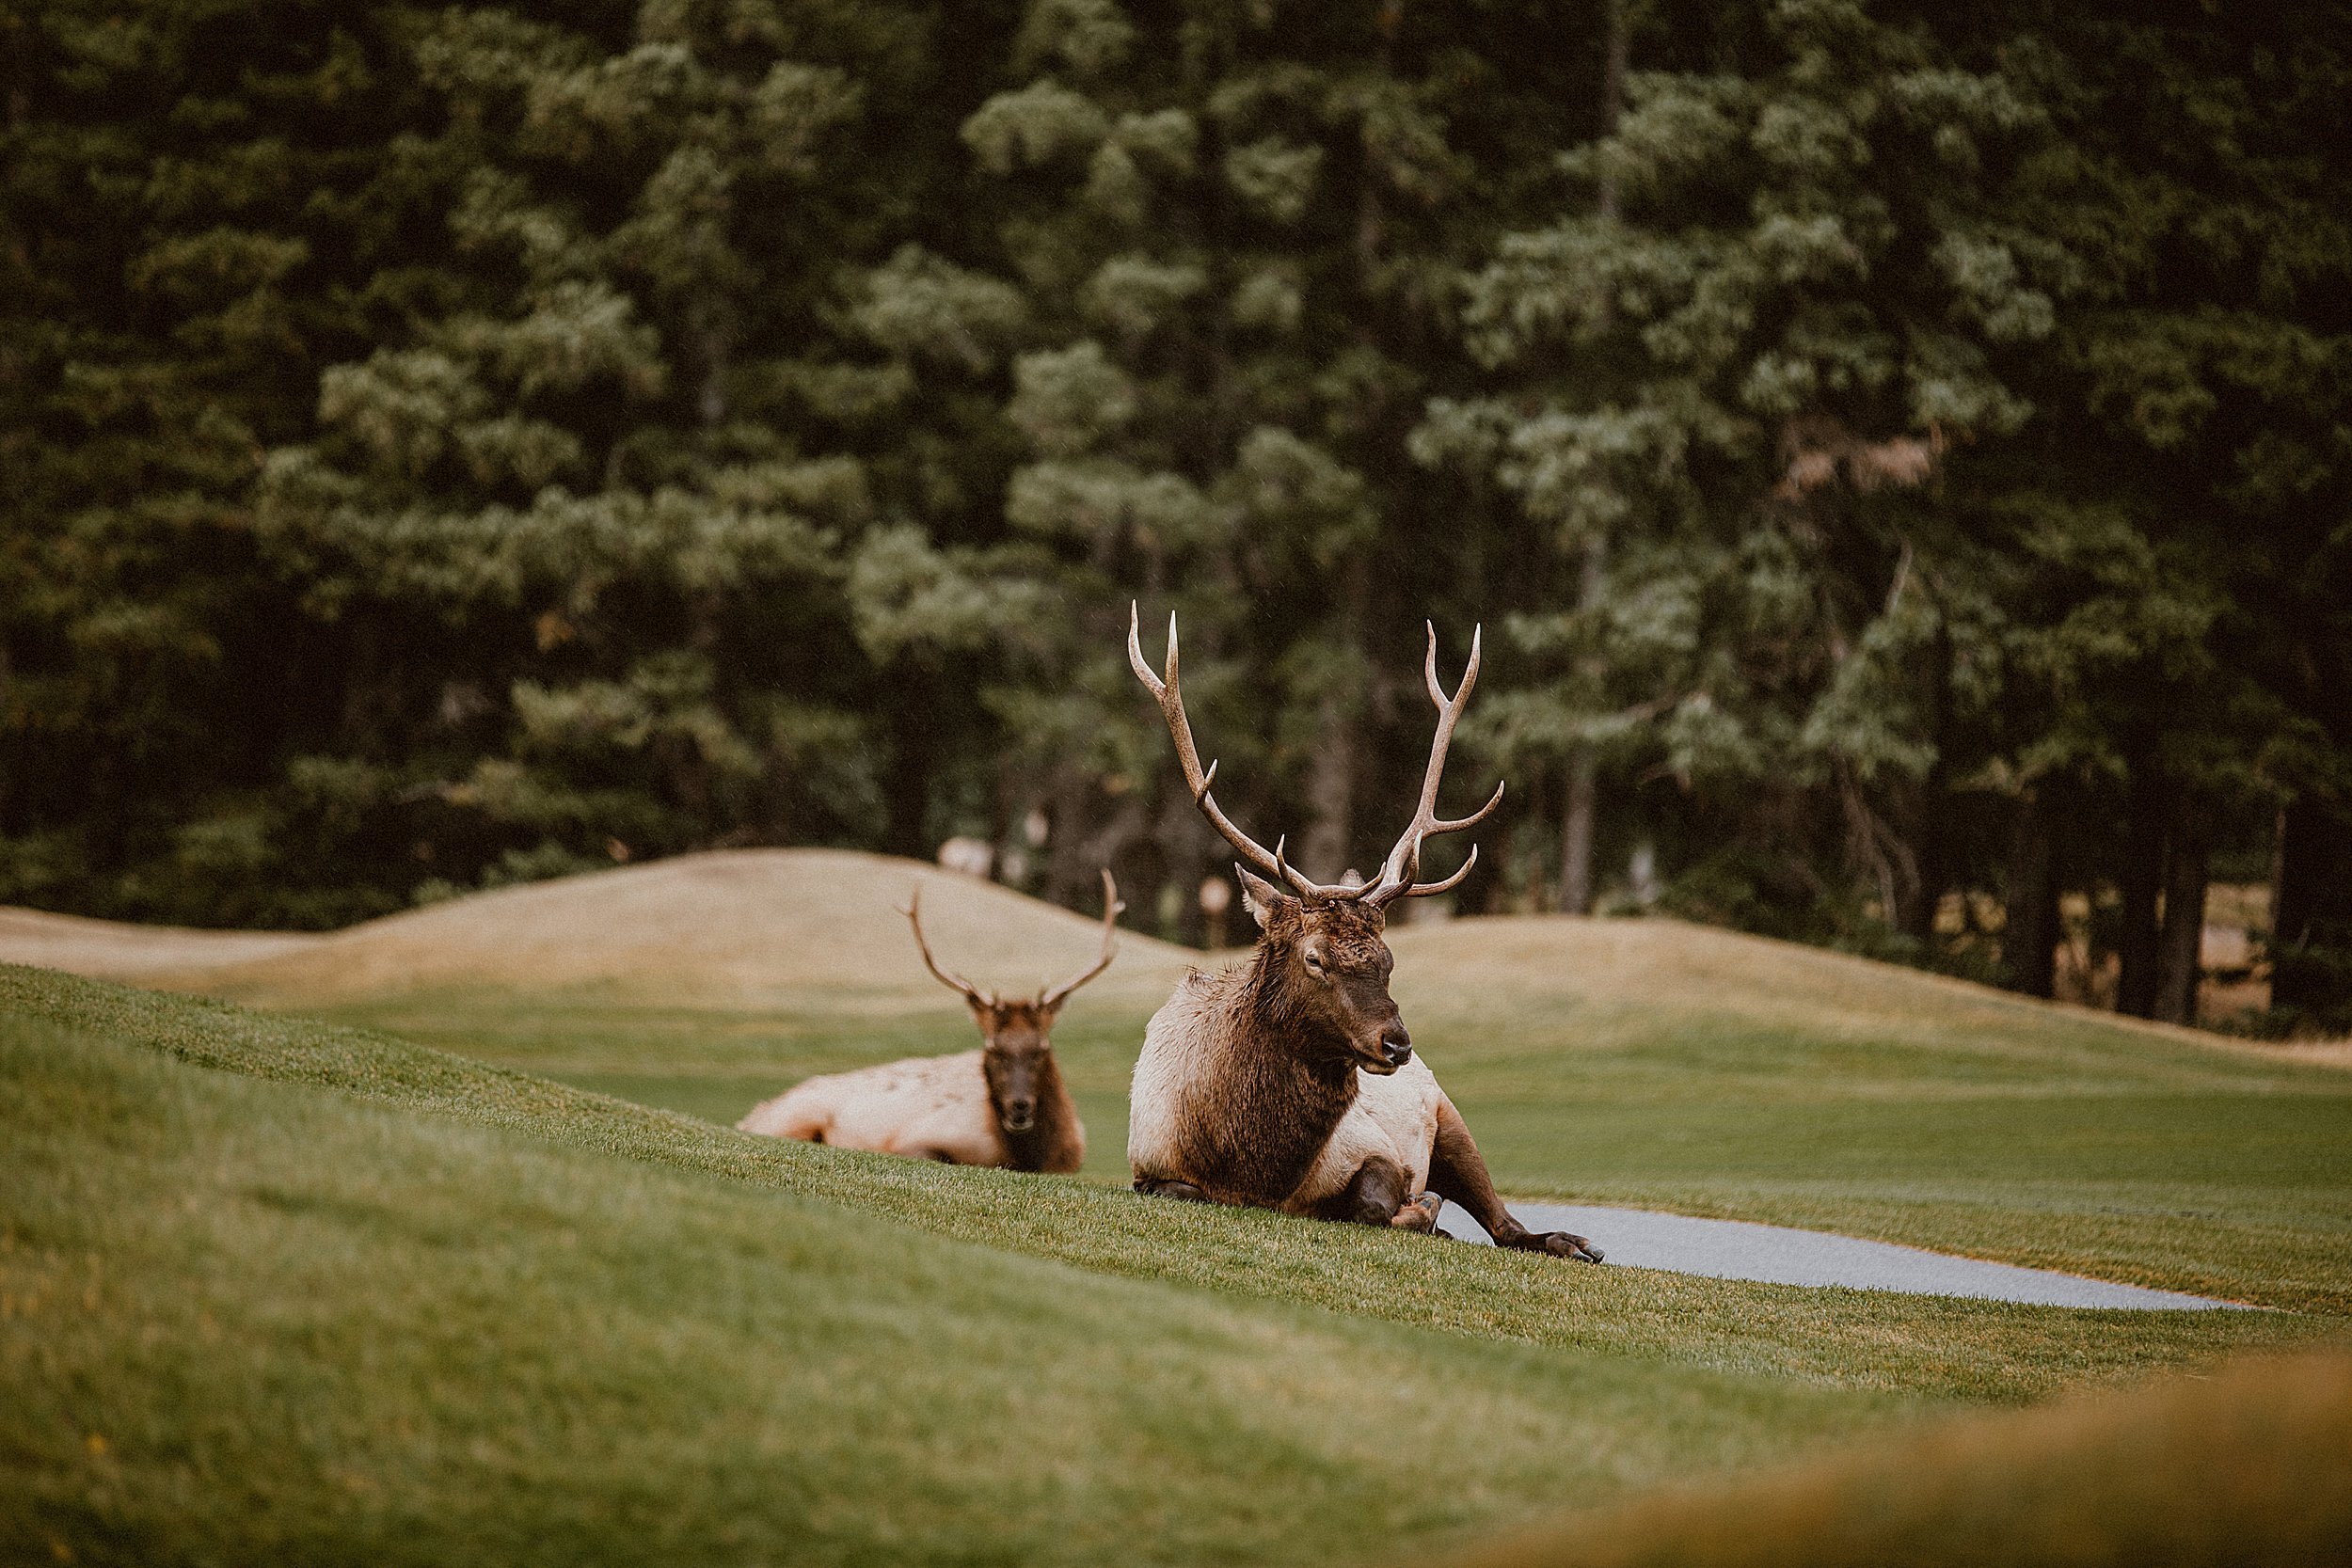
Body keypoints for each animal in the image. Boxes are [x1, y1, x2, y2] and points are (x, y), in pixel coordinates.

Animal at [739, 869, 1115, 1175]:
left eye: (1041, 1048)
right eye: (993, 1049)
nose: (1019, 1106)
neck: (1034, 1155)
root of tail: (753, 1113)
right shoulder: (921, 1137)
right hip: (795, 1117)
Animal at [1120, 606, 1599, 1259]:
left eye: (1390, 960)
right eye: (1315, 958)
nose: (1397, 1044)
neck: (1252, 1173)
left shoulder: (1376, 1150)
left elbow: (1376, 1202)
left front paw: (1422, 1208)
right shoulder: (1146, 1167)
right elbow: (1182, 1190)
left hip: (1450, 1116)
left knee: (1505, 1226)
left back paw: (1571, 1242)